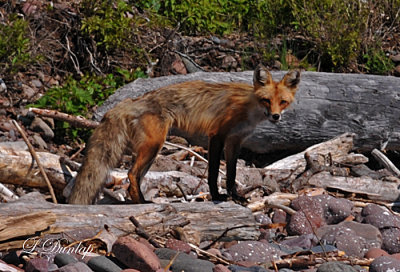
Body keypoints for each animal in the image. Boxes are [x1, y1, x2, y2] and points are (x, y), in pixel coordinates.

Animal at [69, 64, 300, 204]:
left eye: (283, 102)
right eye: (266, 100)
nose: (275, 117)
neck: (248, 108)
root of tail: (132, 101)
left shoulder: (235, 141)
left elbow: (232, 173)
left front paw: (236, 197)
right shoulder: (217, 136)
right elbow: (213, 173)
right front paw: (217, 196)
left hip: (151, 151)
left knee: (135, 177)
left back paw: (138, 201)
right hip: (154, 145)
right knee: (131, 174)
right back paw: (142, 202)